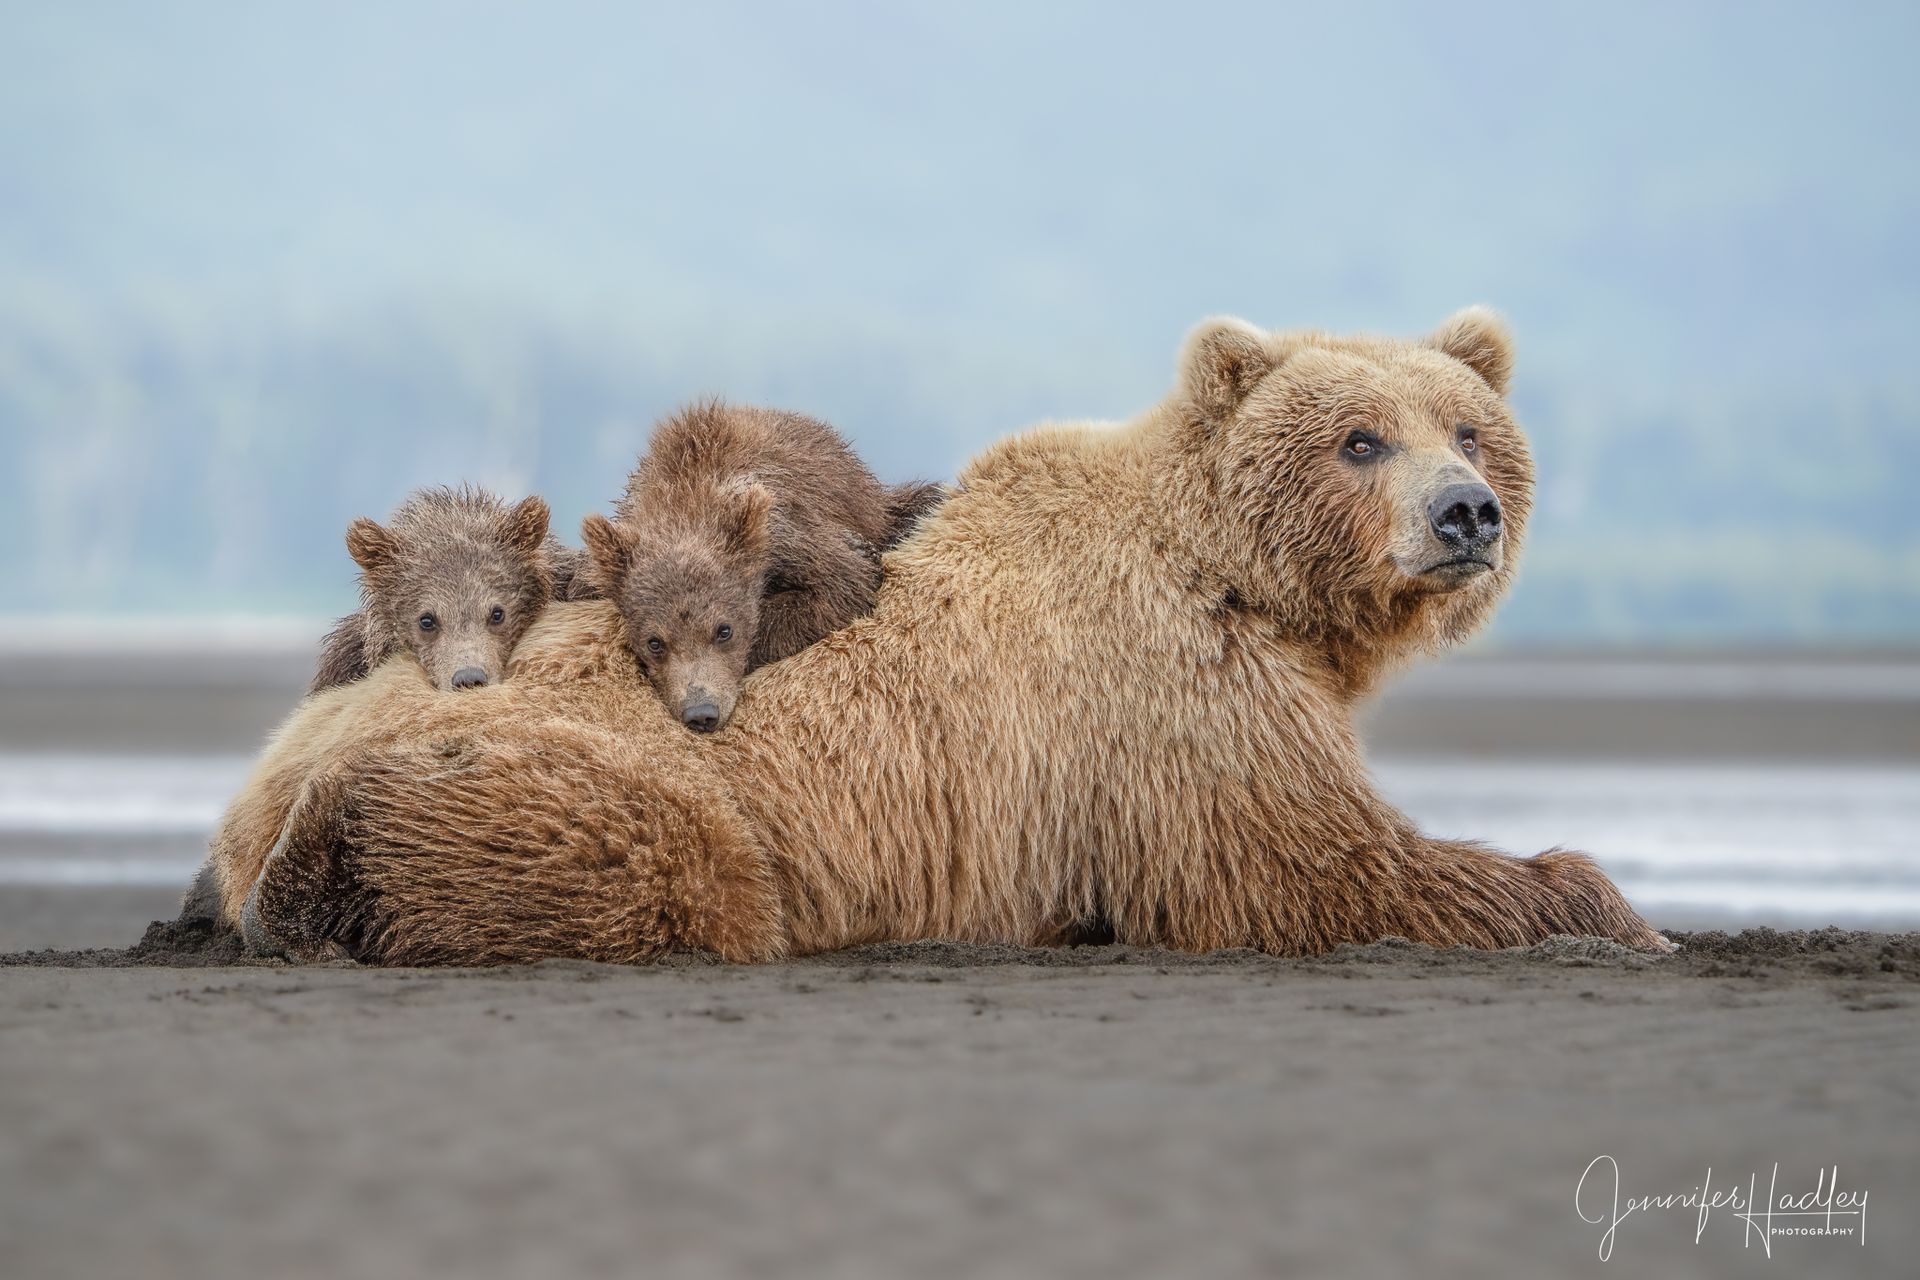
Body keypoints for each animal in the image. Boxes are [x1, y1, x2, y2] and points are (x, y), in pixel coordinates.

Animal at [579, 400, 946, 732]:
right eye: (654, 642)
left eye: (724, 630)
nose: (701, 712)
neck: (685, 501)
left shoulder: (785, 529)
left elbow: (840, 584)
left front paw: (858, 549)